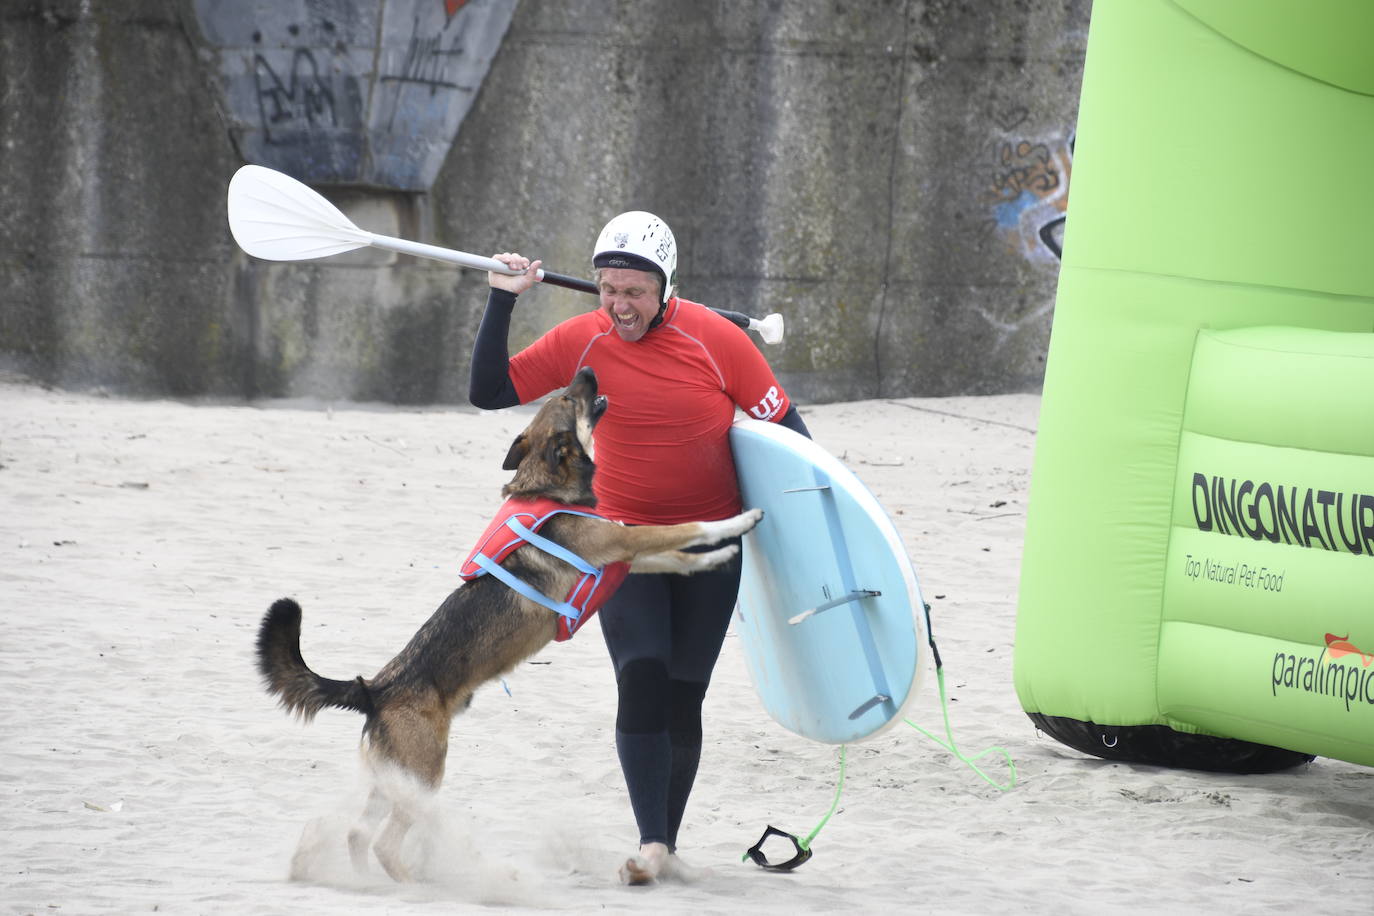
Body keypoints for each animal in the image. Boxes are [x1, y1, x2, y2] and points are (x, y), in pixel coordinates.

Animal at [250, 368, 763, 884]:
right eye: (568, 397)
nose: (587, 371)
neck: (548, 487)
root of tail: (374, 689)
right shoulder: (622, 542)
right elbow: (687, 528)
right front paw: (741, 519)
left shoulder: (625, 558)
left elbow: (679, 556)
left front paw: (720, 556)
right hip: (424, 771)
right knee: (383, 841)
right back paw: (420, 882)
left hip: (391, 778)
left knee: (357, 834)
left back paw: (366, 882)